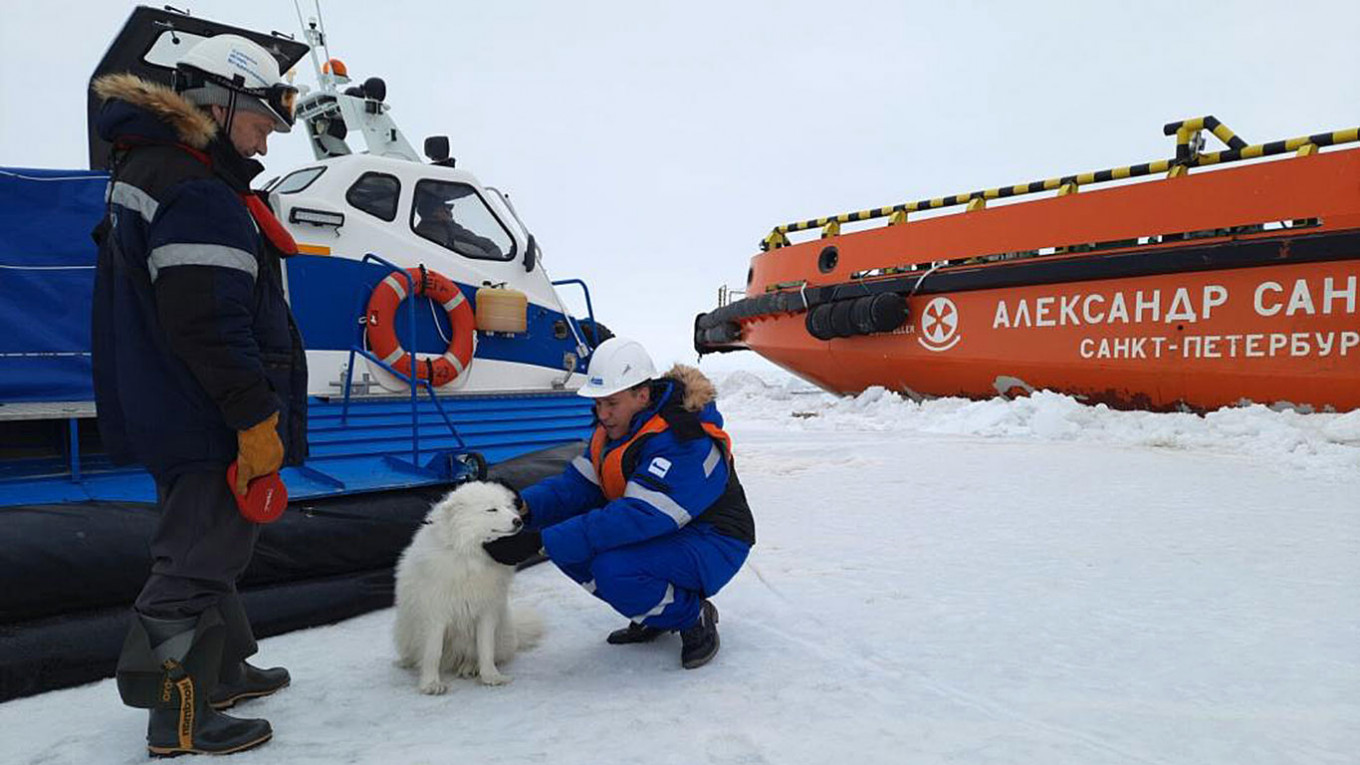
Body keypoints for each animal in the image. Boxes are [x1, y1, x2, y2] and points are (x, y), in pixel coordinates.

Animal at [394, 479, 541, 694]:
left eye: (508, 507)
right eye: (491, 509)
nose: (518, 521)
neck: (469, 557)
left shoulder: (486, 612)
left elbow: (486, 649)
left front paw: (491, 677)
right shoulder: (435, 614)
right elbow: (432, 653)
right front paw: (431, 684)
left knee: (475, 655)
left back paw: (469, 667)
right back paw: (408, 662)